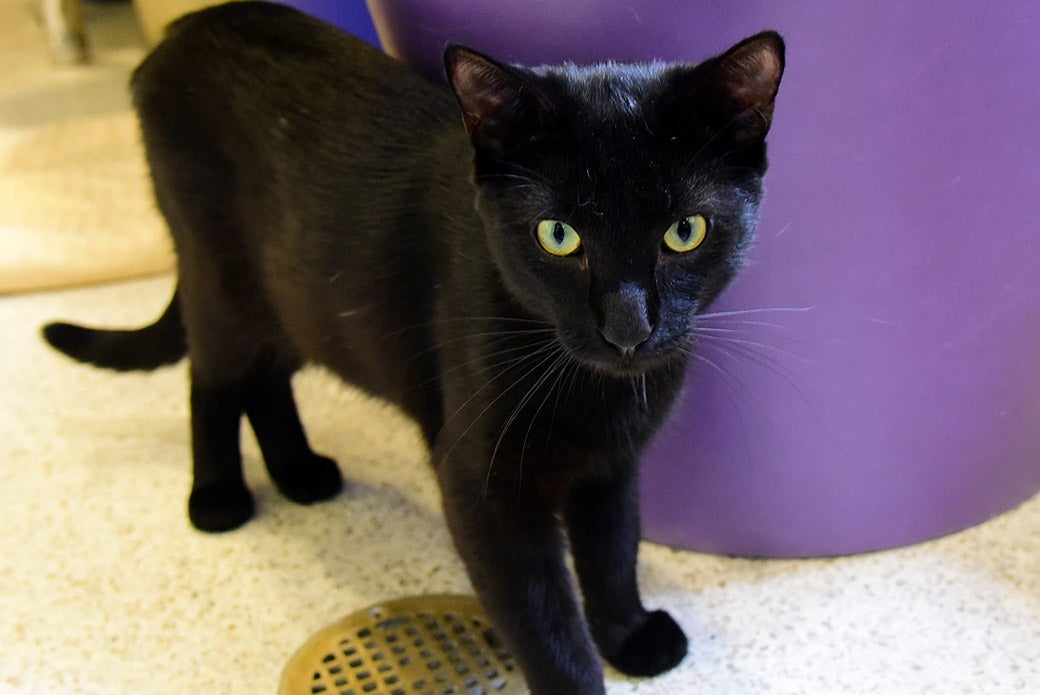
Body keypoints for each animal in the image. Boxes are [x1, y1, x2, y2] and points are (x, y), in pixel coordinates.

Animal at [42, 3, 784, 692]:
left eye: (684, 231)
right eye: (558, 236)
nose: (627, 327)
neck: (595, 389)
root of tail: (182, 29)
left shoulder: (611, 466)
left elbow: (612, 552)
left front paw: (629, 637)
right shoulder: (483, 488)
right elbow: (546, 622)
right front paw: (582, 668)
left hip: (300, 301)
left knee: (267, 377)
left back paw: (300, 473)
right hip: (222, 280)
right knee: (213, 378)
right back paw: (219, 496)